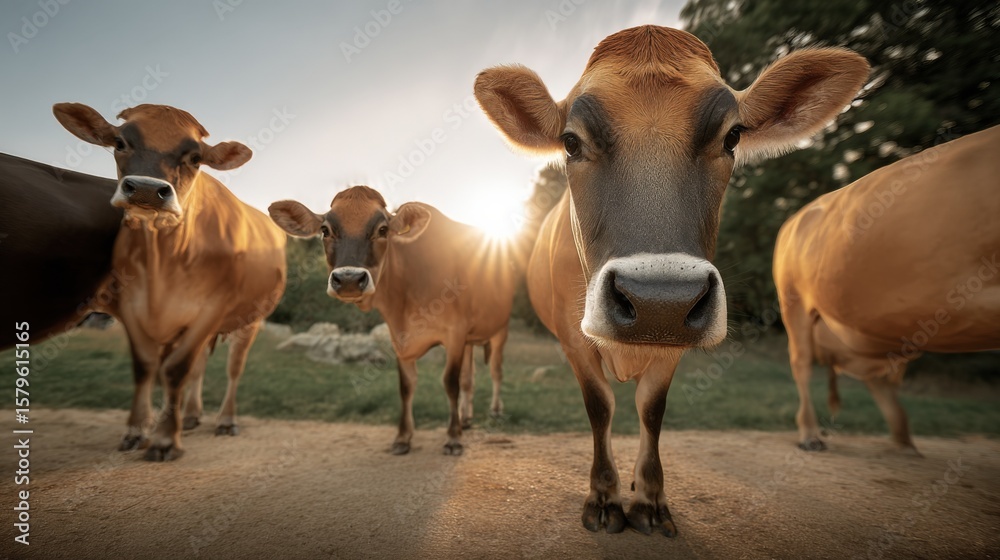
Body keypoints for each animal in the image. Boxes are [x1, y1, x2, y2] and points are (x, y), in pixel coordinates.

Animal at [52, 103, 287, 461]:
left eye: (195, 157)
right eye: (120, 142)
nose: (147, 189)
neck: (162, 262)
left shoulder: (211, 310)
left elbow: (176, 370)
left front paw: (164, 439)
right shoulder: (131, 306)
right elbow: (146, 367)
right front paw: (136, 430)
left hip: (251, 319)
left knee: (233, 368)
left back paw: (225, 420)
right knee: (200, 365)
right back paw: (190, 415)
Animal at [269, 186, 536, 455]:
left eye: (383, 230)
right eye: (325, 230)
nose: (349, 280)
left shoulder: (455, 333)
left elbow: (450, 383)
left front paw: (453, 437)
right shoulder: (401, 337)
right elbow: (407, 386)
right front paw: (403, 437)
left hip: (500, 329)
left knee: (496, 371)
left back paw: (495, 410)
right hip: (470, 340)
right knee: (468, 377)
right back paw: (466, 418)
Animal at [474, 25, 869, 536]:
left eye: (732, 136)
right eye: (571, 142)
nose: (658, 300)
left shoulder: (675, 336)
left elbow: (651, 408)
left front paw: (649, 499)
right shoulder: (571, 336)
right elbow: (600, 406)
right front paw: (604, 497)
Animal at [773, 125, 1000, 455]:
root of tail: (796, 216)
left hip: (879, 332)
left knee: (878, 381)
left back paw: (904, 443)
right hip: (794, 302)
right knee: (801, 364)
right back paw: (810, 434)